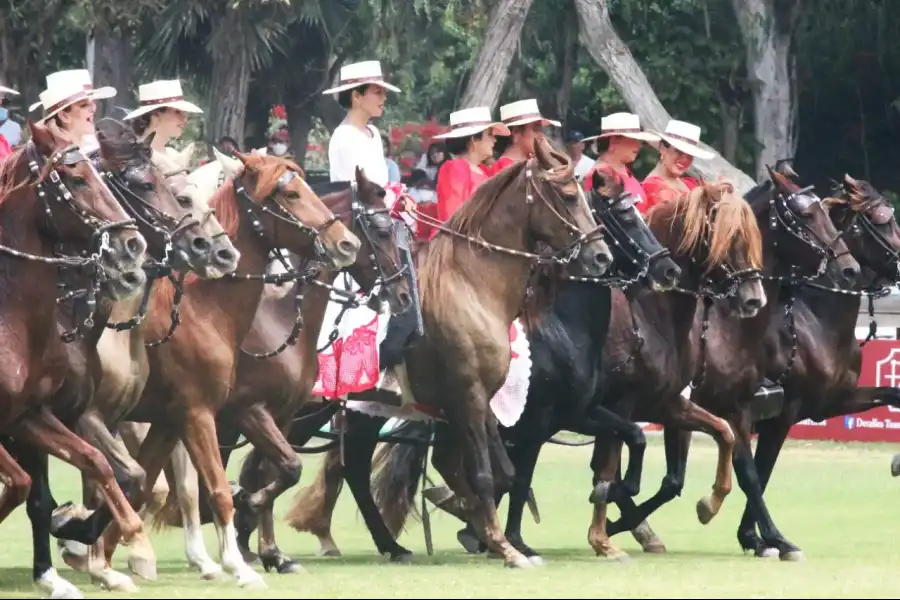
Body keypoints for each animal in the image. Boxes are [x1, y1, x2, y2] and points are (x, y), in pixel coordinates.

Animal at [58, 148, 362, 588]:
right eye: (289, 193)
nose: (346, 243)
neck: (205, 311)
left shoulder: (175, 420)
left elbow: (152, 483)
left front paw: (114, 554)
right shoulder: (206, 413)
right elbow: (212, 487)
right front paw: (238, 559)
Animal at [142, 163, 414, 576]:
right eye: (382, 232)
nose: (402, 296)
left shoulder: (281, 415)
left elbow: (273, 472)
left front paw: (270, 551)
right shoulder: (245, 412)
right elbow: (268, 472)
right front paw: (246, 521)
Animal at [600, 165, 860, 564]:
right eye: (804, 216)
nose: (849, 270)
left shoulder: (735, 407)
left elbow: (748, 473)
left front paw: (772, 538)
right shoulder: (683, 406)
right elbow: (674, 478)